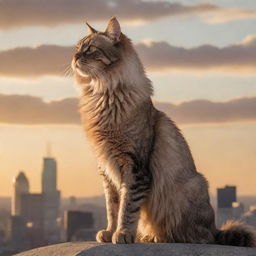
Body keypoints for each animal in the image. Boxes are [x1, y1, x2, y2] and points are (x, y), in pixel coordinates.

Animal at [71, 16, 256, 246]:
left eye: (90, 49)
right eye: (77, 49)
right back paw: (149, 237)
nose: (74, 57)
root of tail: (215, 229)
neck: (101, 95)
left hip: (191, 188)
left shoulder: (135, 166)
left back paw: (159, 237)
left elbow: (127, 207)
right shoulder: (106, 167)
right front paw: (109, 231)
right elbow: (112, 207)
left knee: (199, 237)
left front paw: (123, 233)